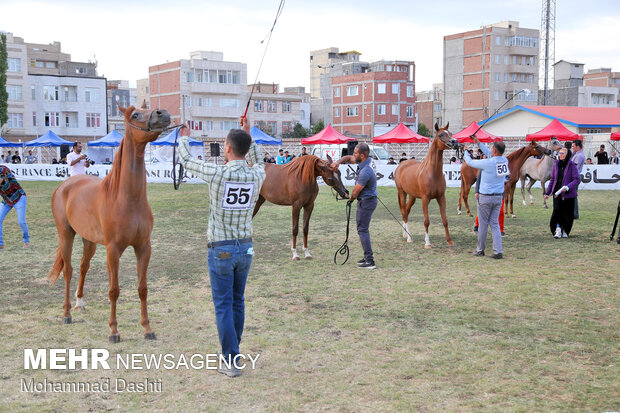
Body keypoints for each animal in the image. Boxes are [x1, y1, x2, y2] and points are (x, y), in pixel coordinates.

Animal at [48, 104, 170, 342]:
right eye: (135, 114)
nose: (164, 114)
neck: (127, 198)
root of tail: (65, 185)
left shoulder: (143, 247)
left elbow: (143, 289)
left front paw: (147, 329)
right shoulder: (113, 250)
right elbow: (114, 290)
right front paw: (114, 331)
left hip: (89, 241)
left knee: (83, 267)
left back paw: (80, 302)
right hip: (66, 235)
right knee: (68, 270)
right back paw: (67, 314)